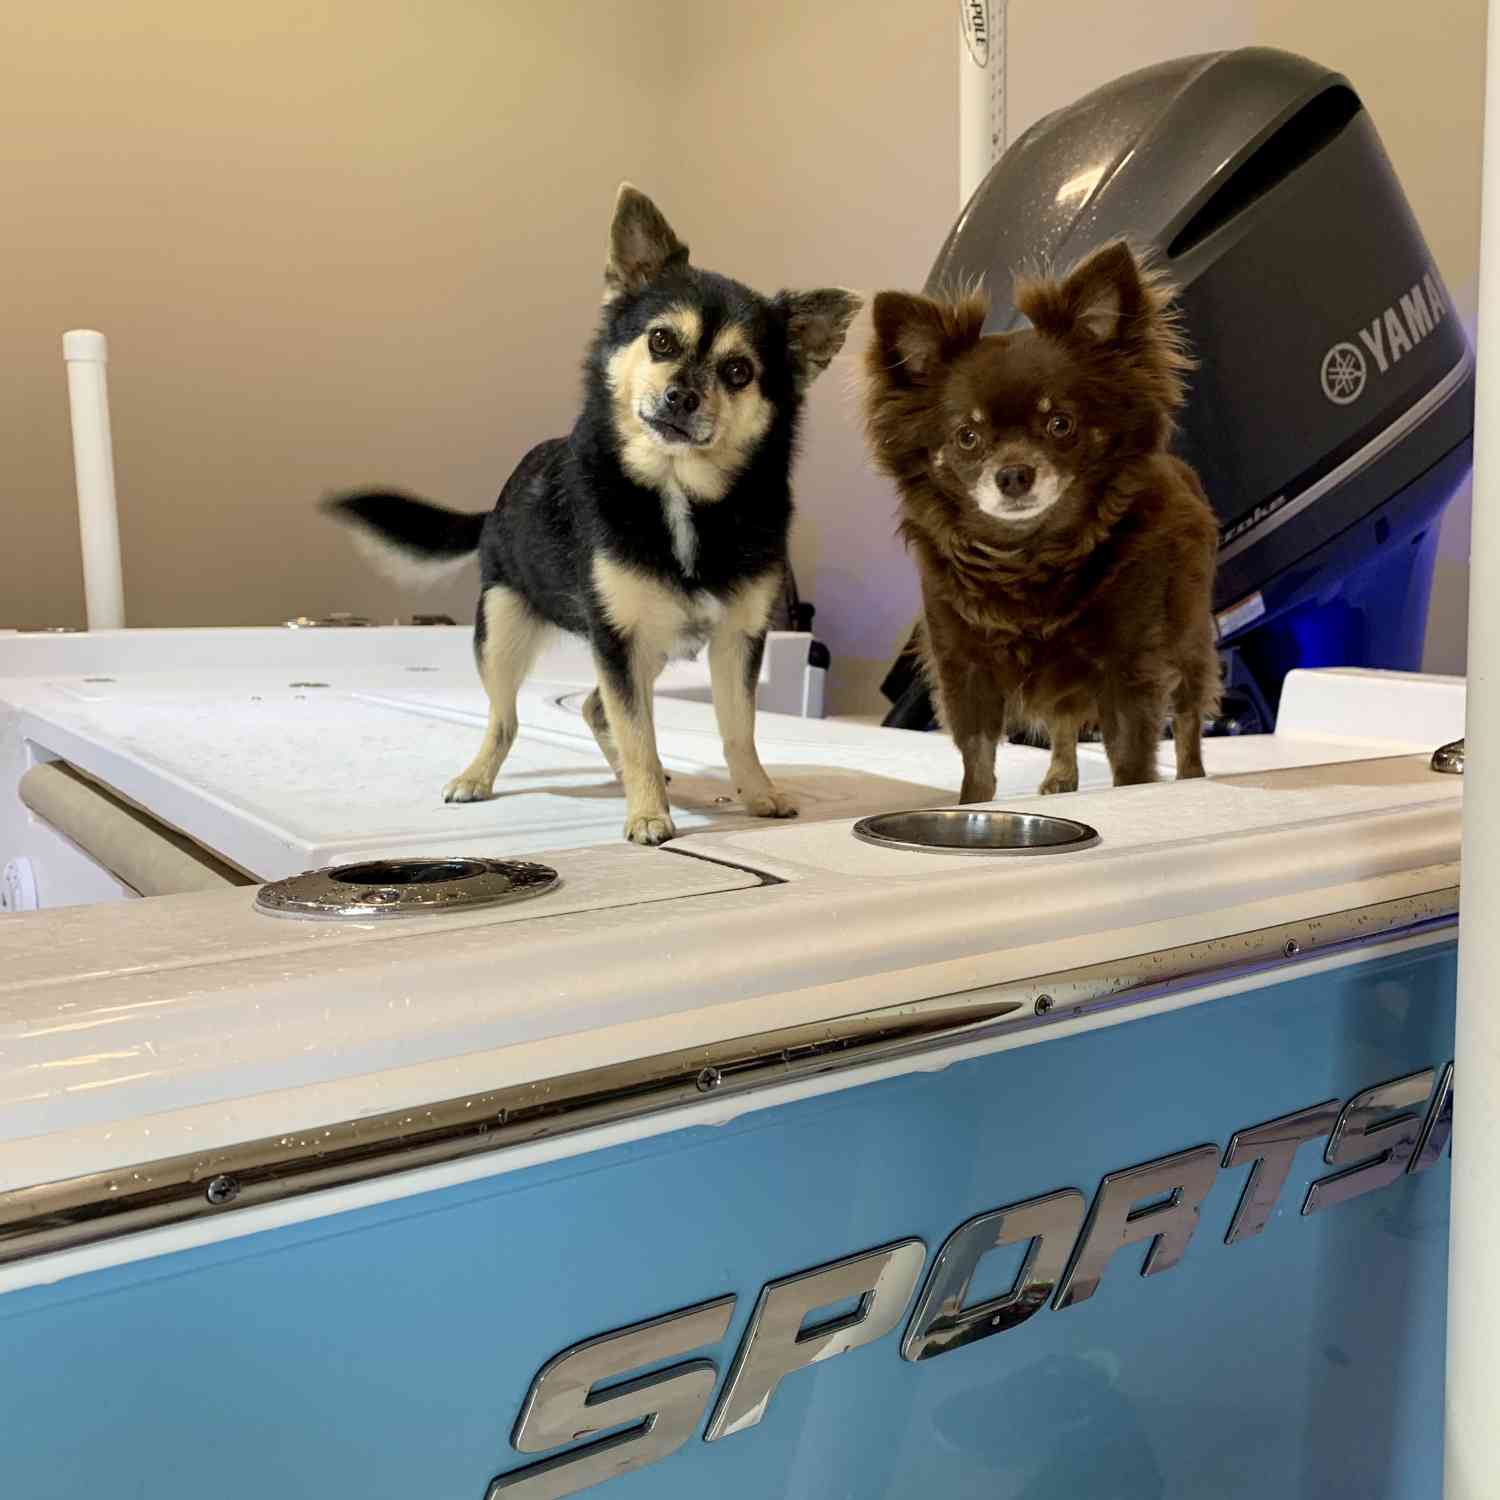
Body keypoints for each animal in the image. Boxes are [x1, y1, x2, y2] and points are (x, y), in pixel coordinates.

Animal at [334, 187, 864, 846]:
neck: (677, 492)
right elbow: (637, 732)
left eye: (739, 372)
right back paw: (479, 777)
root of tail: (496, 507)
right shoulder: (619, 640)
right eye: (661, 341)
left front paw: (757, 794)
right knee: (505, 719)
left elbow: (737, 728)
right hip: (503, 631)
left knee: (591, 706)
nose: (682, 397)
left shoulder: (734, 640)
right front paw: (647, 814)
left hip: (649, 647)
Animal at [870, 243, 1218, 810]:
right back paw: (1060, 778)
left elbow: (1131, 758)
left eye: (1061, 425)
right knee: (1062, 723)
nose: (1013, 474)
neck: (1029, 557)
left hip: (1189, 640)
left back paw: (1191, 778)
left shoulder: (1128, 669)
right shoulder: (965, 671)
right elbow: (978, 761)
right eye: (967, 437)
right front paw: (973, 808)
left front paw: (1135, 799)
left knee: (1188, 715)